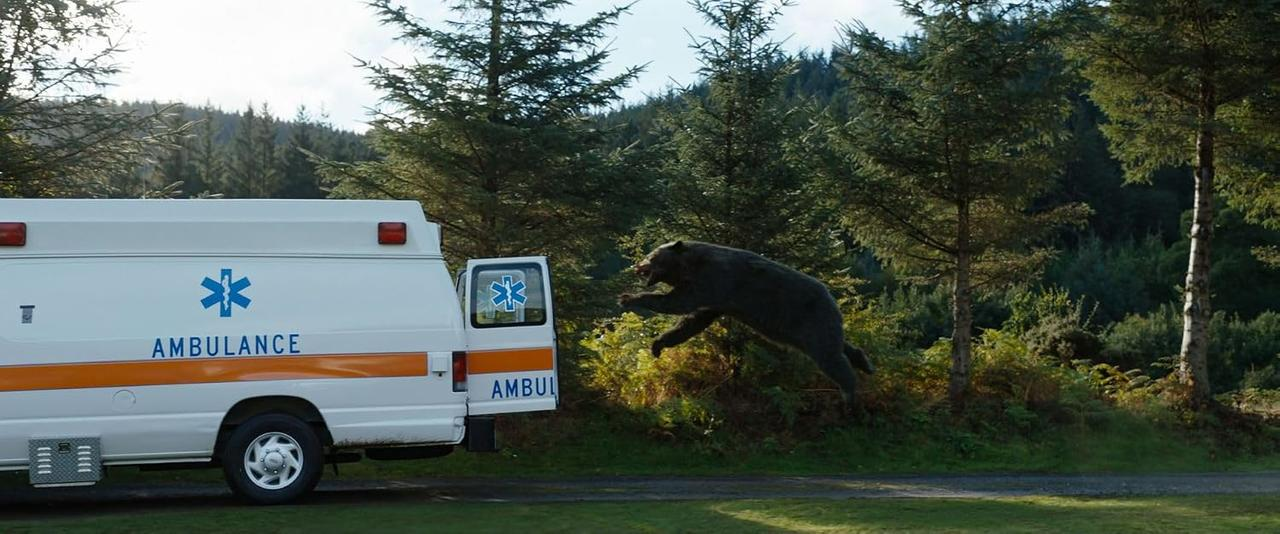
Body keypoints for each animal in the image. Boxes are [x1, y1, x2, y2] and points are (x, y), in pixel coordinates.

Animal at [619, 240, 875, 404]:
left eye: (651, 256)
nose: (637, 266)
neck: (690, 266)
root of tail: (832, 298)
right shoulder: (715, 300)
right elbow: (692, 321)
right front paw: (658, 344)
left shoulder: (714, 279)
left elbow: (678, 303)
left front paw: (628, 297)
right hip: (810, 328)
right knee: (839, 347)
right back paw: (865, 363)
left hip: (810, 319)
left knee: (831, 358)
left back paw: (849, 394)